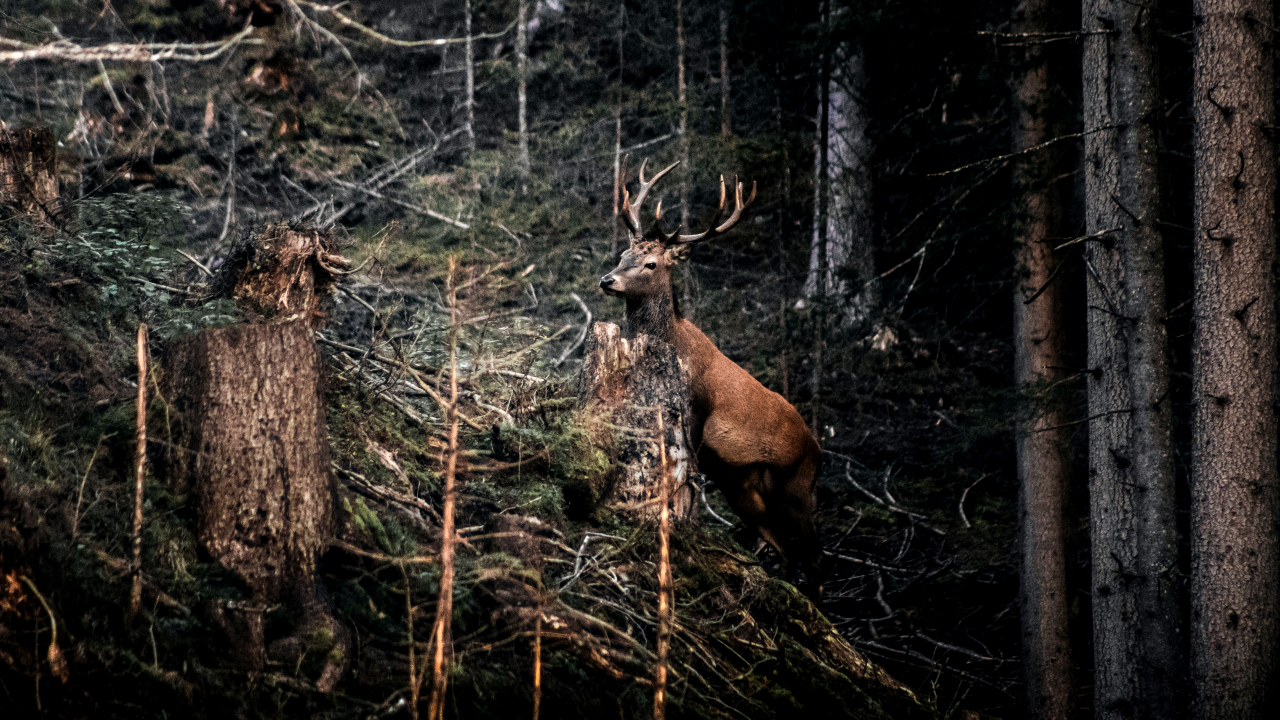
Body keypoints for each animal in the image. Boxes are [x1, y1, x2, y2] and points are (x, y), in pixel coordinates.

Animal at [599, 158, 823, 590]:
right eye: (623, 253)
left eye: (651, 263)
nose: (607, 280)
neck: (671, 343)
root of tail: (819, 451)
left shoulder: (698, 408)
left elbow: (689, 465)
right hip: (745, 488)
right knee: (785, 549)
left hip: (798, 487)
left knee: (816, 556)